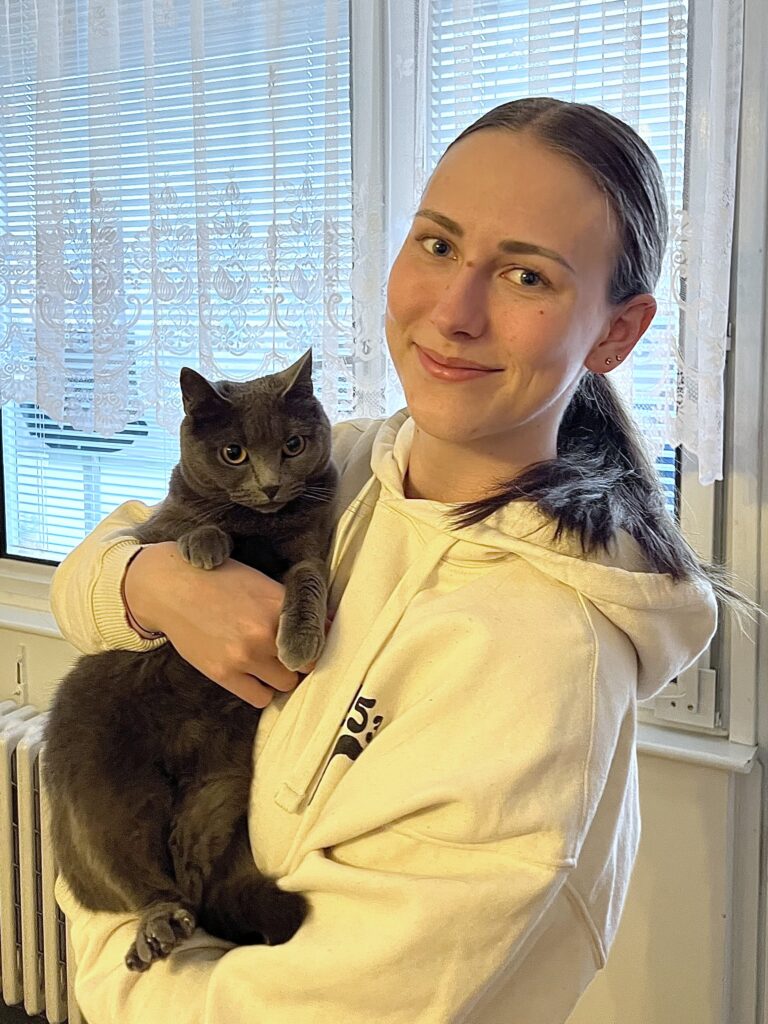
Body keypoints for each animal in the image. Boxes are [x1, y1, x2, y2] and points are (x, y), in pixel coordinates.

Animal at [44, 349, 338, 972]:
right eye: (234, 453)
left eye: (294, 445)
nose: (271, 485)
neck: (258, 526)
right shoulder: (156, 528)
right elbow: (180, 531)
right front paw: (205, 547)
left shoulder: (309, 549)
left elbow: (307, 579)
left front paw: (298, 641)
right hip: (94, 784)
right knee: (139, 876)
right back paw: (156, 930)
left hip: (216, 788)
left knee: (194, 878)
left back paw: (173, 923)